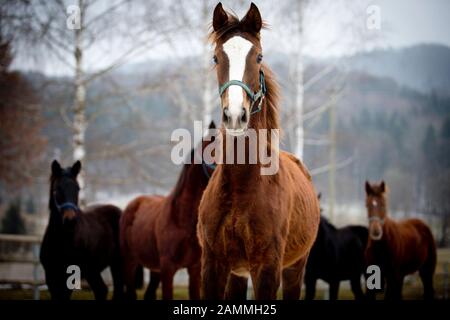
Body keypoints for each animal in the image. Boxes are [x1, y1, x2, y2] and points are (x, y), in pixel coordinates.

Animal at [40, 160, 124, 300]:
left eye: (77, 188)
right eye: (57, 189)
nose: (70, 219)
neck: (61, 241)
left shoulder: (70, 277)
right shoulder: (51, 278)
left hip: (115, 265)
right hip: (94, 271)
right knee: (102, 290)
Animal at [120, 121, 217, 298]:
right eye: (214, 152)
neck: (182, 219)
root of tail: (134, 203)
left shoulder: (194, 269)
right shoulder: (168, 268)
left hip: (154, 269)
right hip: (129, 262)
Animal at [197, 2, 320, 300]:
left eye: (259, 57)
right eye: (216, 58)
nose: (235, 116)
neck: (241, 188)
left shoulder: (266, 270)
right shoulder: (213, 267)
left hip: (295, 269)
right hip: (238, 275)